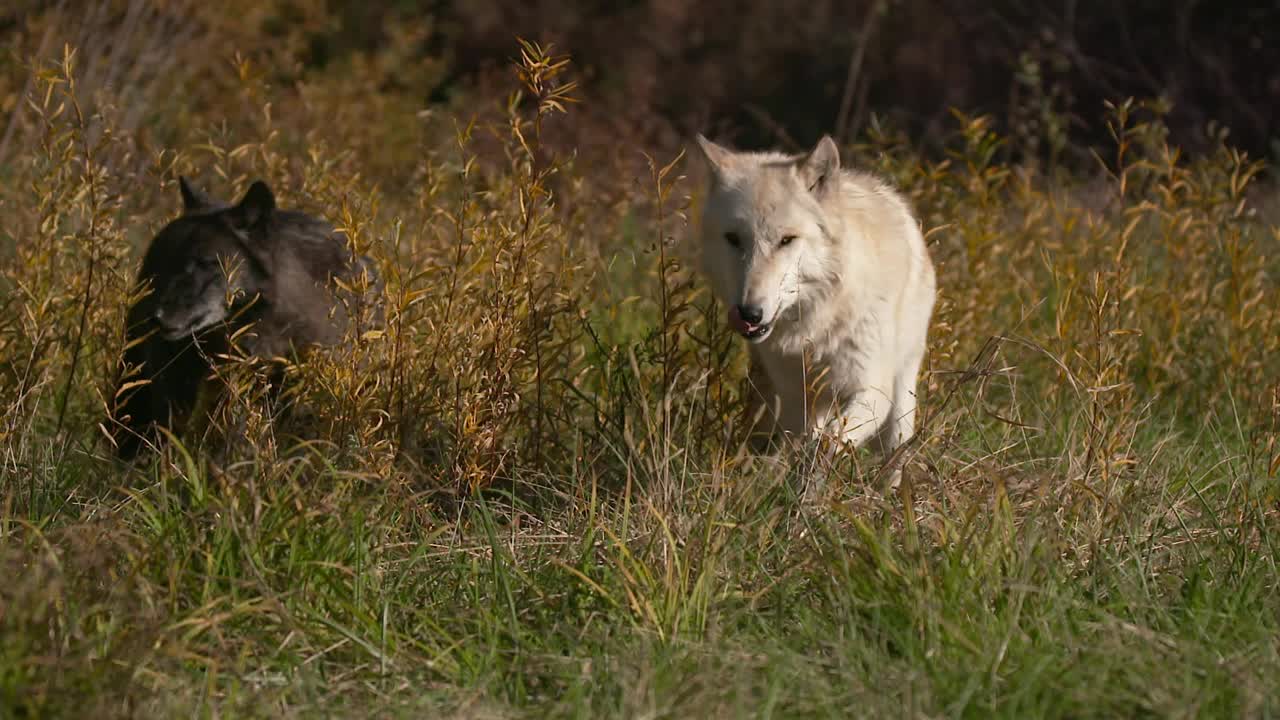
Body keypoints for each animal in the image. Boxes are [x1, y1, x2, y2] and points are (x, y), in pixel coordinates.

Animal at [696, 132, 936, 468]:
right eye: (734, 239)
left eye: (786, 240)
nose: (749, 314)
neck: (817, 325)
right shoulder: (796, 401)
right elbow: (807, 442)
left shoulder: (871, 391)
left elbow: (829, 443)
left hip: (901, 399)